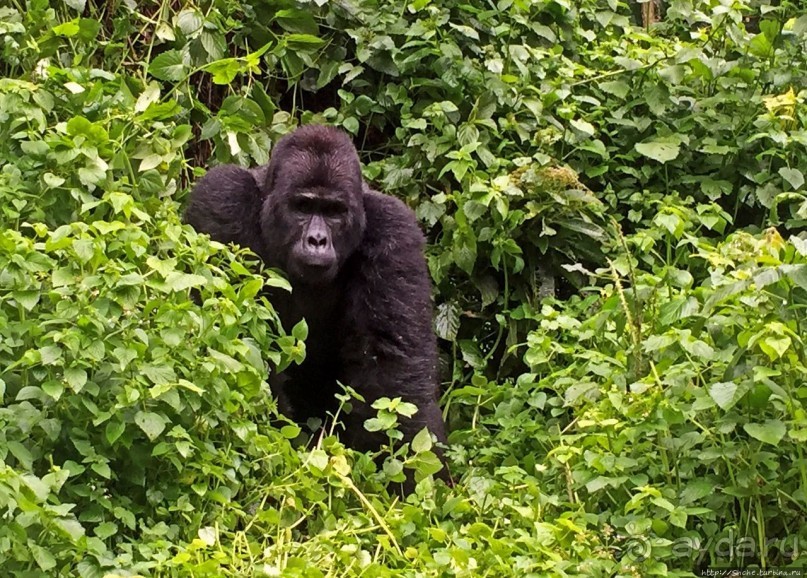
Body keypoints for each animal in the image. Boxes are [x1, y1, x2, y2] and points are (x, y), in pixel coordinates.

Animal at [185, 124, 448, 480]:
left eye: (334, 212)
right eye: (303, 207)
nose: (317, 240)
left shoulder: (394, 230)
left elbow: (392, 368)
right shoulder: (221, 198)